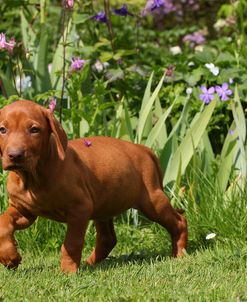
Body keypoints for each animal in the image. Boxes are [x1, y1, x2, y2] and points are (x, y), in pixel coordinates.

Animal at [0, 100, 187, 272]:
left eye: (34, 130)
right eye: (2, 130)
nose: (15, 155)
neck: (33, 177)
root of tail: (144, 149)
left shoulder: (80, 208)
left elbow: (72, 242)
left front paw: (68, 271)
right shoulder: (23, 210)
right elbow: (3, 223)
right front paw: (10, 257)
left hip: (152, 201)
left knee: (179, 221)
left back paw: (180, 254)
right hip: (104, 204)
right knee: (107, 239)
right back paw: (90, 263)